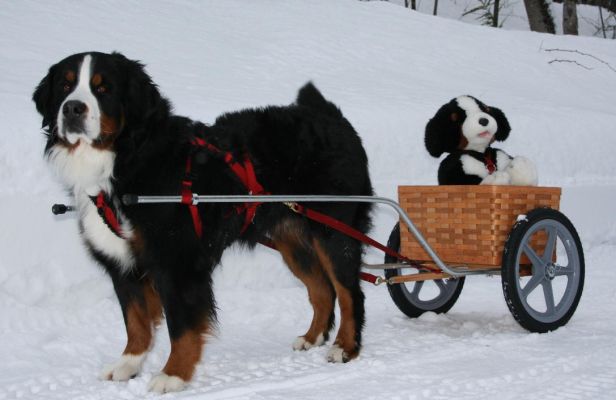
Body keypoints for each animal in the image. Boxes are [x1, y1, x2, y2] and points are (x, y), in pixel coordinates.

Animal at [33, 51, 372, 392]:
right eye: (65, 85)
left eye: (103, 88)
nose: (73, 108)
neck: (125, 160)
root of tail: (333, 117)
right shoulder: (122, 262)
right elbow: (136, 321)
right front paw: (128, 364)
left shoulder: (177, 262)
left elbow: (181, 326)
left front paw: (173, 374)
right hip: (293, 241)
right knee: (322, 289)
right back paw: (312, 337)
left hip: (334, 231)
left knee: (349, 292)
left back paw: (345, 347)